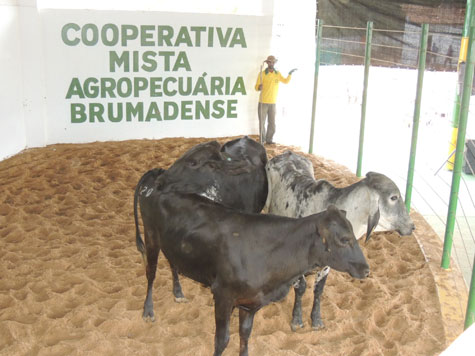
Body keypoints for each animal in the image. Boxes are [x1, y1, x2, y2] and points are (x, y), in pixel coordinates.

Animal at [135, 181, 372, 356]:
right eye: (344, 239)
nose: (366, 270)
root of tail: (157, 187)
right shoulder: (223, 295)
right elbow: (222, 340)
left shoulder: (250, 303)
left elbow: (245, 335)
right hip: (151, 237)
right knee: (151, 273)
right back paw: (148, 311)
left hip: (172, 245)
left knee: (173, 264)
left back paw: (178, 293)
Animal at [266, 150, 414, 330]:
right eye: (393, 197)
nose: (412, 226)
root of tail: (287, 153)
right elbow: (301, 288)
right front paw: (296, 320)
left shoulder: (327, 264)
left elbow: (319, 289)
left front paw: (316, 320)